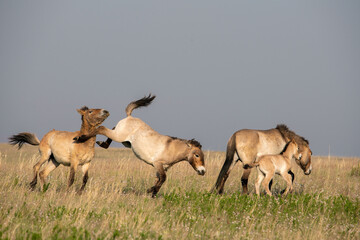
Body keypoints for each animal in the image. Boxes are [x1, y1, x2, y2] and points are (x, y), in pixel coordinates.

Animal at [73, 94, 205, 197]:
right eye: (197, 155)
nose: (203, 171)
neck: (171, 148)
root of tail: (130, 116)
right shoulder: (158, 164)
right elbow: (163, 178)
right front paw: (151, 190)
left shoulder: (161, 168)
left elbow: (160, 180)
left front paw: (153, 192)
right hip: (119, 136)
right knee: (101, 128)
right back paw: (81, 138)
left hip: (122, 139)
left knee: (110, 129)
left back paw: (102, 143)